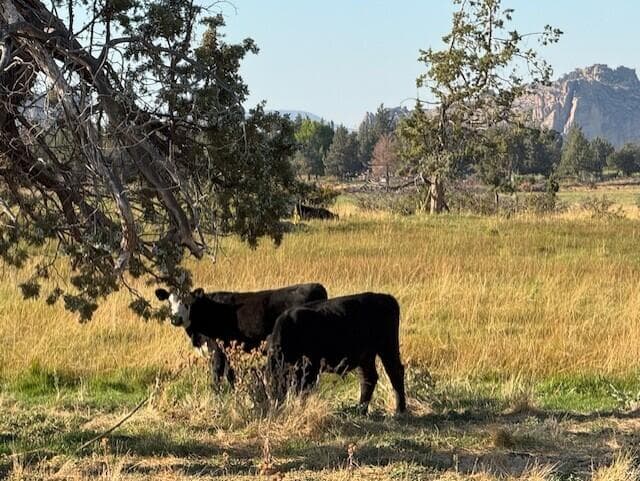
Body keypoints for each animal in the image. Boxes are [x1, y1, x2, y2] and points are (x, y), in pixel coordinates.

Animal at [155, 283, 328, 386]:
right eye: (169, 302)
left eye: (188, 302)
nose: (176, 318)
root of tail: (315, 286)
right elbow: (229, 374)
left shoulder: (216, 349)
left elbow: (217, 374)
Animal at [267, 292, 406, 415]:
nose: (275, 400)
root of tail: (386, 298)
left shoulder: (311, 369)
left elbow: (304, 390)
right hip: (366, 358)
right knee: (368, 378)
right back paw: (361, 410)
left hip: (388, 349)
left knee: (395, 373)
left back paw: (399, 411)